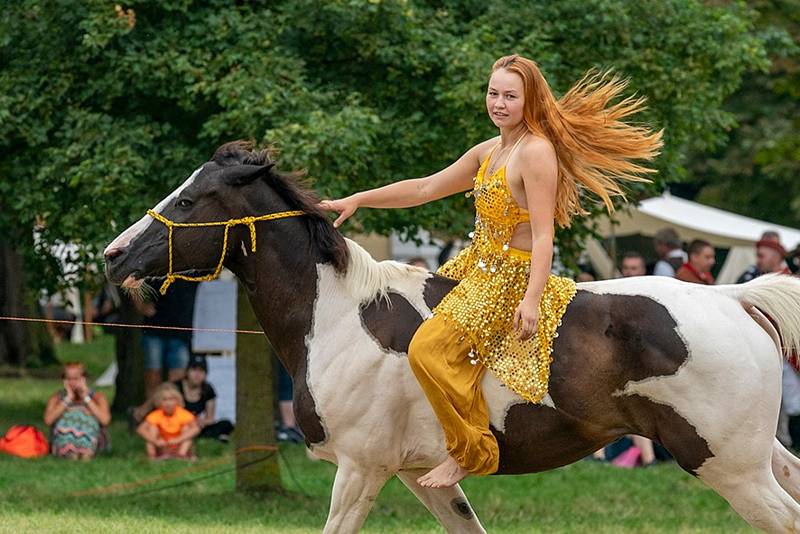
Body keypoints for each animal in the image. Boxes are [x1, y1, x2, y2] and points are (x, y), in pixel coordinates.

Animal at [106, 142, 800, 534]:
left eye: (189, 200)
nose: (114, 256)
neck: (338, 317)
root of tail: (734, 299)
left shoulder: (360, 469)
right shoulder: (418, 475)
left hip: (727, 465)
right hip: (760, 456)